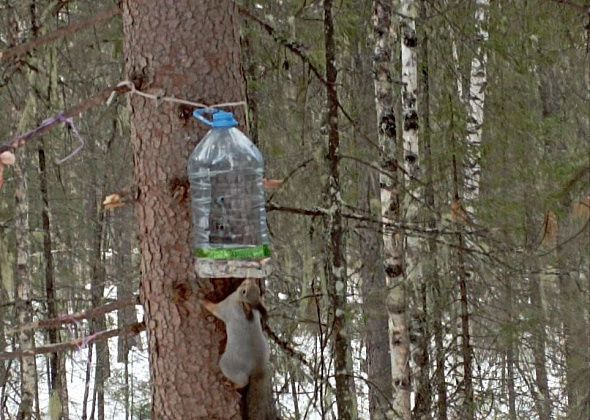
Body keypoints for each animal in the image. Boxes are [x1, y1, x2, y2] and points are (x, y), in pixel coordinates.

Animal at [202, 278, 278, 420]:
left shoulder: (227, 307)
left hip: (229, 364)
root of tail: (258, 366)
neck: (239, 302)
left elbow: (215, 309)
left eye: (244, 292)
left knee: (243, 381)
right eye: (258, 291)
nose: (249, 279)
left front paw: (204, 301)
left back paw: (232, 384)